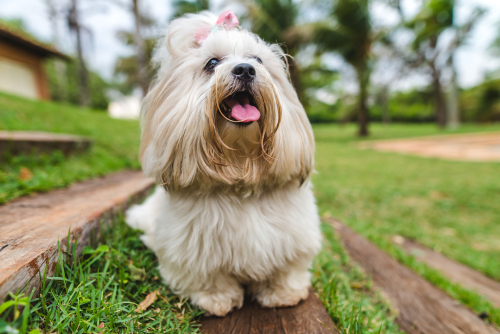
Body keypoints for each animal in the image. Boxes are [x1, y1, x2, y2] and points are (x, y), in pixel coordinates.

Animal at [125, 10, 320, 318]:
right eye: (212, 63)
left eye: (258, 60)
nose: (245, 69)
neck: (240, 169)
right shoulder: (193, 249)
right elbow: (207, 277)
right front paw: (216, 300)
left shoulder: (292, 238)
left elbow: (285, 270)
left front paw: (283, 294)